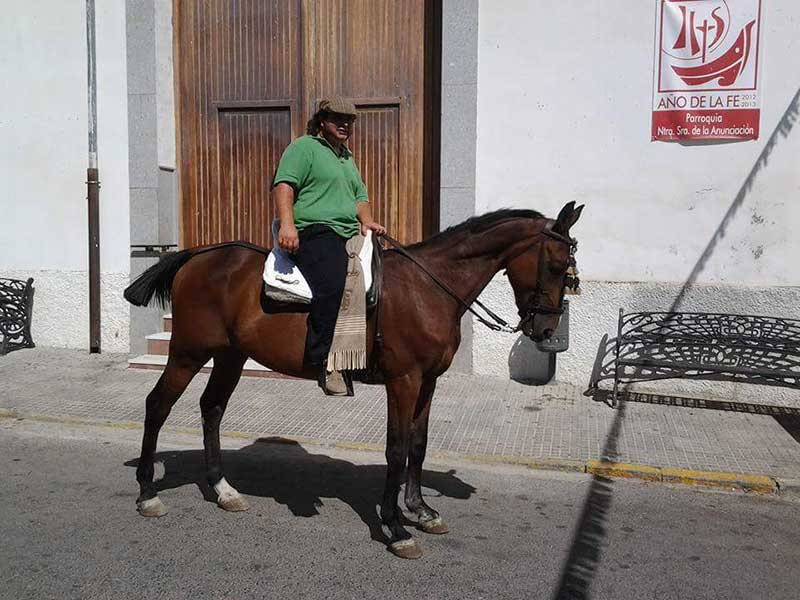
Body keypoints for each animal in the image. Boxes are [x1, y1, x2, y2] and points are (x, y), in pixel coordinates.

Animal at [126, 200, 580, 556]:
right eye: (558, 265)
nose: (545, 331)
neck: (426, 287)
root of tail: (199, 256)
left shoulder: (428, 382)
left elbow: (419, 445)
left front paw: (420, 510)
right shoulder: (404, 381)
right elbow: (397, 449)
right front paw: (395, 526)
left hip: (230, 356)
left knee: (212, 408)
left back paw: (223, 490)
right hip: (188, 353)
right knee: (158, 406)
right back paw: (147, 493)